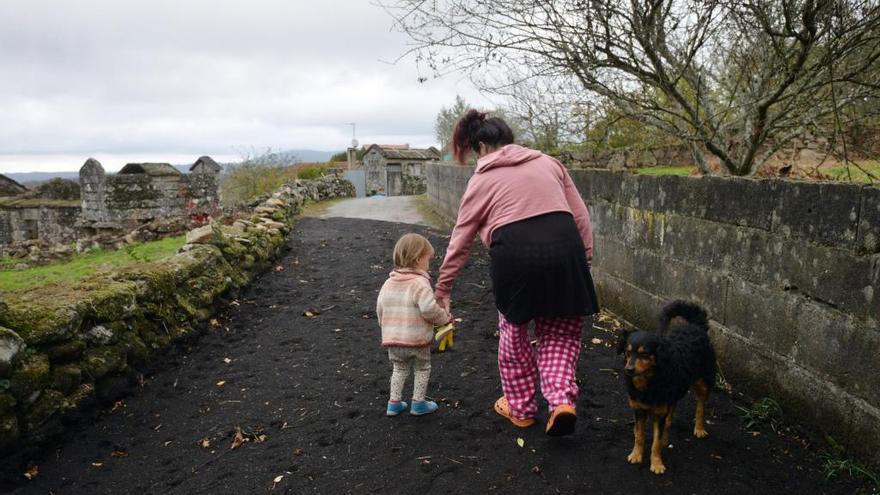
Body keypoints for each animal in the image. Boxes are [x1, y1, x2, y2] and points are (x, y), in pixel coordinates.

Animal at [620, 300, 716, 474]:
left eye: (644, 354)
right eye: (627, 352)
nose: (628, 370)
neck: (649, 381)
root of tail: (696, 326)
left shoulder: (659, 413)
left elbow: (655, 443)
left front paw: (657, 464)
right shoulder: (639, 409)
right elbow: (639, 435)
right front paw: (636, 455)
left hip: (703, 382)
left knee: (701, 405)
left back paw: (699, 428)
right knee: (673, 406)